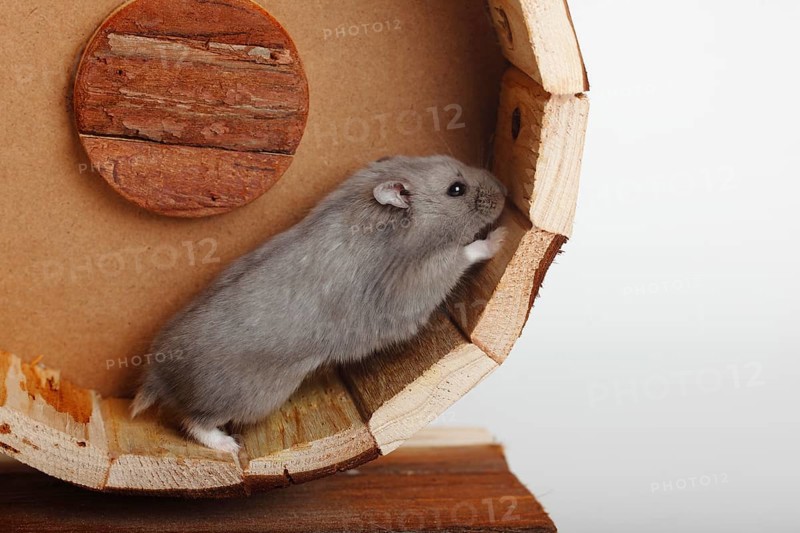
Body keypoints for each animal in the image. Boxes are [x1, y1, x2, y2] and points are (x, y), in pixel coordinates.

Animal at [131, 155, 508, 453]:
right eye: (456, 189)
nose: (505, 191)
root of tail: (158, 376)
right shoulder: (415, 280)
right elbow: (463, 254)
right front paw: (499, 238)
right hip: (251, 397)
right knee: (194, 422)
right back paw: (229, 446)